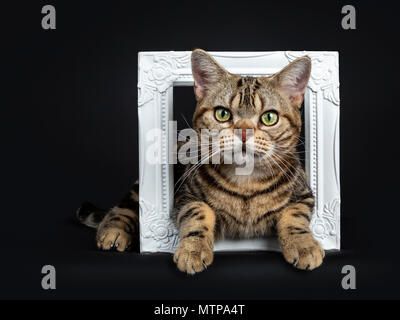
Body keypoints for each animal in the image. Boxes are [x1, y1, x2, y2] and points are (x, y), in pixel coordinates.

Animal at [76, 48, 324, 274]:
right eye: (223, 114)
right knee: (122, 207)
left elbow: (294, 216)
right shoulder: (184, 197)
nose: (244, 133)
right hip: (141, 188)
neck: (246, 183)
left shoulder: (304, 195)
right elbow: (198, 212)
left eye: (269, 117)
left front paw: (303, 244)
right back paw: (113, 231)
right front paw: (193, 249)